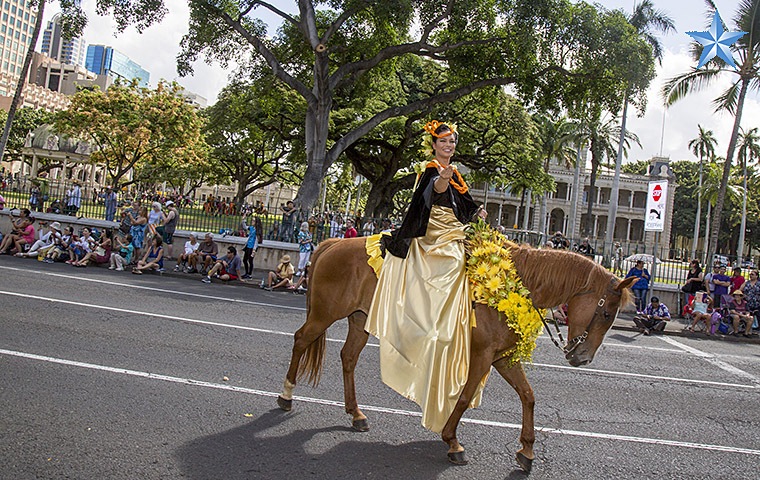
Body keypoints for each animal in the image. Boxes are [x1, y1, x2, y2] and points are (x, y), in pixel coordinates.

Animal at [278, 238, 636, 470]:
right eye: (607, 313)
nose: (582, 358)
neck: (512, 286)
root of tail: (332, 244)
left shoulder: (502, 357)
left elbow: (528, 396)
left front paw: (527, 451)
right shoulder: (482, 355)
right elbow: (464, 398)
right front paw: (452, 441)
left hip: (359, 320)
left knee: (348, 358)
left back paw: (356, 414)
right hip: (325, 314)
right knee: (300, 340)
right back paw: (286, 395)